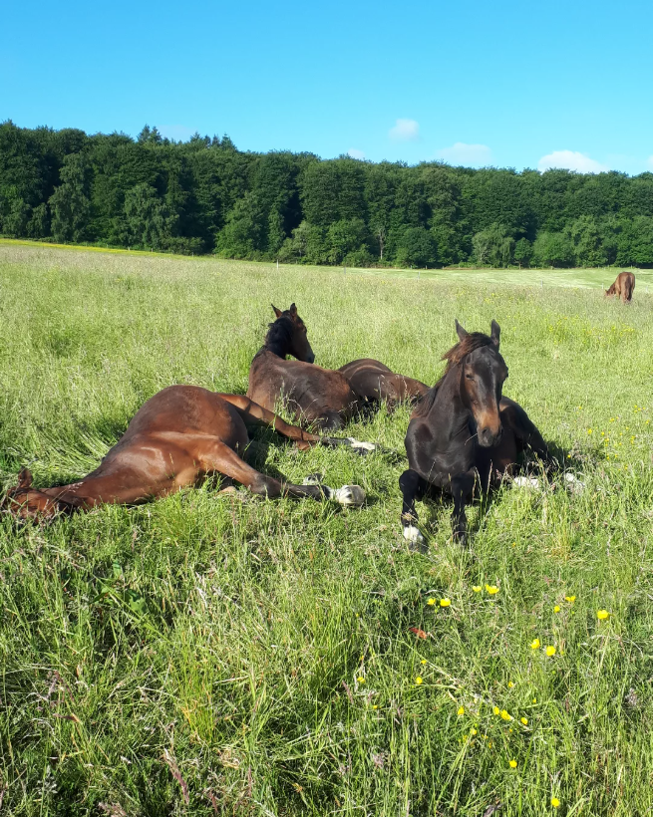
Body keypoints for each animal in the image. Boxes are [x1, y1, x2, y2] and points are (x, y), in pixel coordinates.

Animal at [3, 386, 373, 520]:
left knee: (301, 433)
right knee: (299, 444)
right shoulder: (207, 486)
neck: (140, 466)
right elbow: (243, 492)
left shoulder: (212, 449)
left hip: (256, 411)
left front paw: (341, 493)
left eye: (24, 505)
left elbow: (264, 484)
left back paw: (361, 445)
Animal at [399, 320, 550, 546]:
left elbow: (458, 485)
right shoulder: (423, 477)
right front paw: (411, 528)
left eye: (505, 374)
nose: (492, 433)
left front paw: (459, 531)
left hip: (533, 439)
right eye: (469, 374)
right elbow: (406, 479)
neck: (440, 440)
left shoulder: (473, 475)